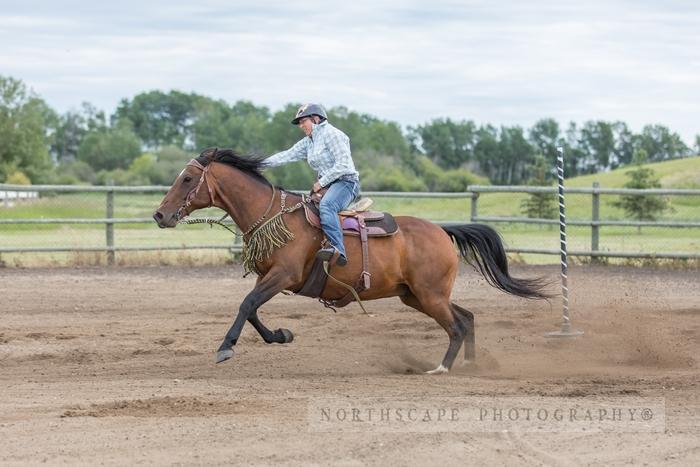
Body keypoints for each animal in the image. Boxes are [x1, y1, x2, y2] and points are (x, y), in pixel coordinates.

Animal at [154, 148, 552, 374]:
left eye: (187, 178)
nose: (159, 215)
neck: (276, 217)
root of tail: (440, 230)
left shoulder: (283, 276)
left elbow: (246, 304)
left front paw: (225, 348)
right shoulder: (269, 277)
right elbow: (251, 309)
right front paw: (282, 335)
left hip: (429, 295)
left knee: (455, 326)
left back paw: (441, 369)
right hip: (417, 295)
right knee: (466, 318)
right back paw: (469, 364)